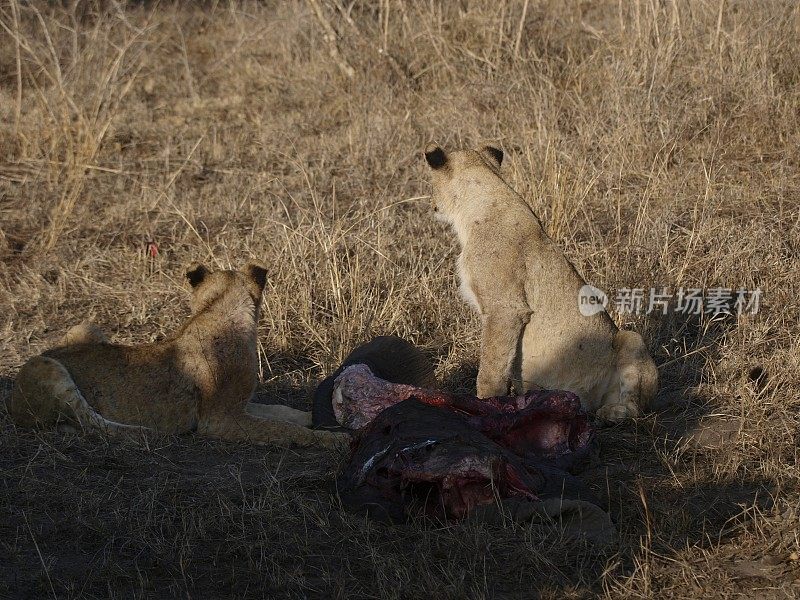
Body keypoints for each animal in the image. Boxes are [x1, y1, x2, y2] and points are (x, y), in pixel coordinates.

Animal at [5, 264, 350, 448]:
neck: (214, 310)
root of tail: (14, 406)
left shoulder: (239, 404)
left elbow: (280, 411)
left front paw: (314, 418)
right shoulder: (219, 420)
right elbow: (282, 429)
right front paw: (335, 440)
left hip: (86, 327)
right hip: (45, 366)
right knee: (92, 422)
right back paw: (148, 432)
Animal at [422, 144, 660, 422]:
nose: (431, 206)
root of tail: (588, 405)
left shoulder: (505, 309)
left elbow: (490, 369)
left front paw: (483, 406)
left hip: (631, 338)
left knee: (636, 409)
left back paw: (614, 413)